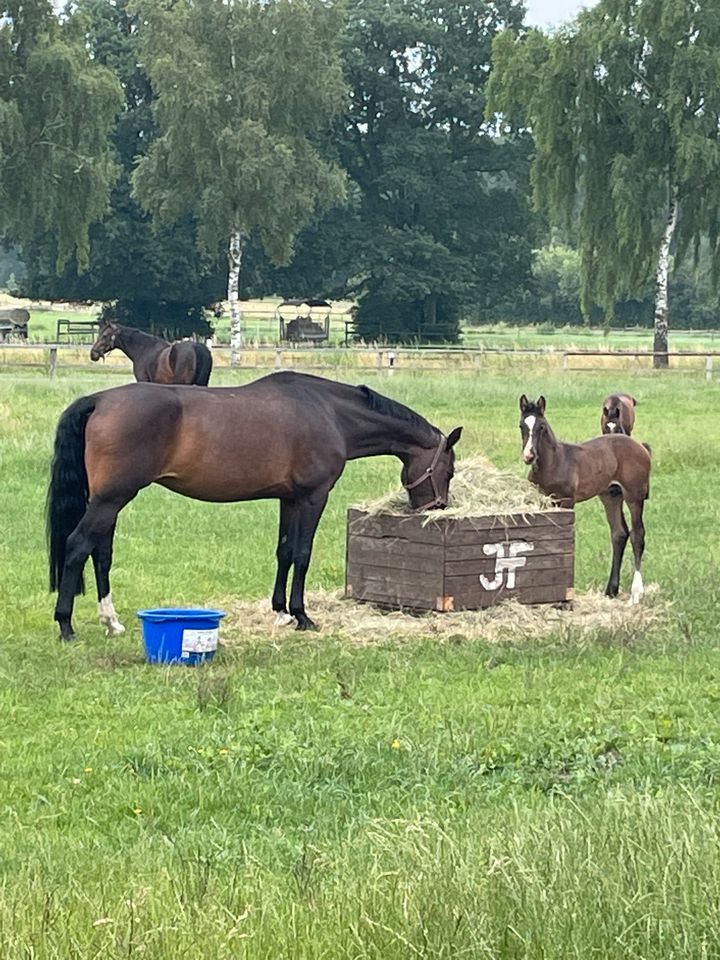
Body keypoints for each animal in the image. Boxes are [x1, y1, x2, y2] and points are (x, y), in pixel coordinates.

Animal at [47, 372, 462, 640]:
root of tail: (100, 400)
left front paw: (280, 612)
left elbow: (284, 552)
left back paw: (111, 622)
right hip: (112, 498)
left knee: (101, 553)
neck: (329, 412)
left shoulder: (289, 499)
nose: (438, 509)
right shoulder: (313, 497)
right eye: (450, 469)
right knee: (78, 545)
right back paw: (66, 625)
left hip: (110, 500)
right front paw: (302, 616)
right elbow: (303, 554)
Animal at [516, 394, 652, 604]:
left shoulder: (566, 501)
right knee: (619, 533)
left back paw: (636, 593)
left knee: (638, 535)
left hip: (634, 495)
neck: (554, 462)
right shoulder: (543, 502)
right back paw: (611, 590)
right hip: (611, 495)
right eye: (521, 425)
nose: (529, 456)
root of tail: (641, 446)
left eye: (542, 427)